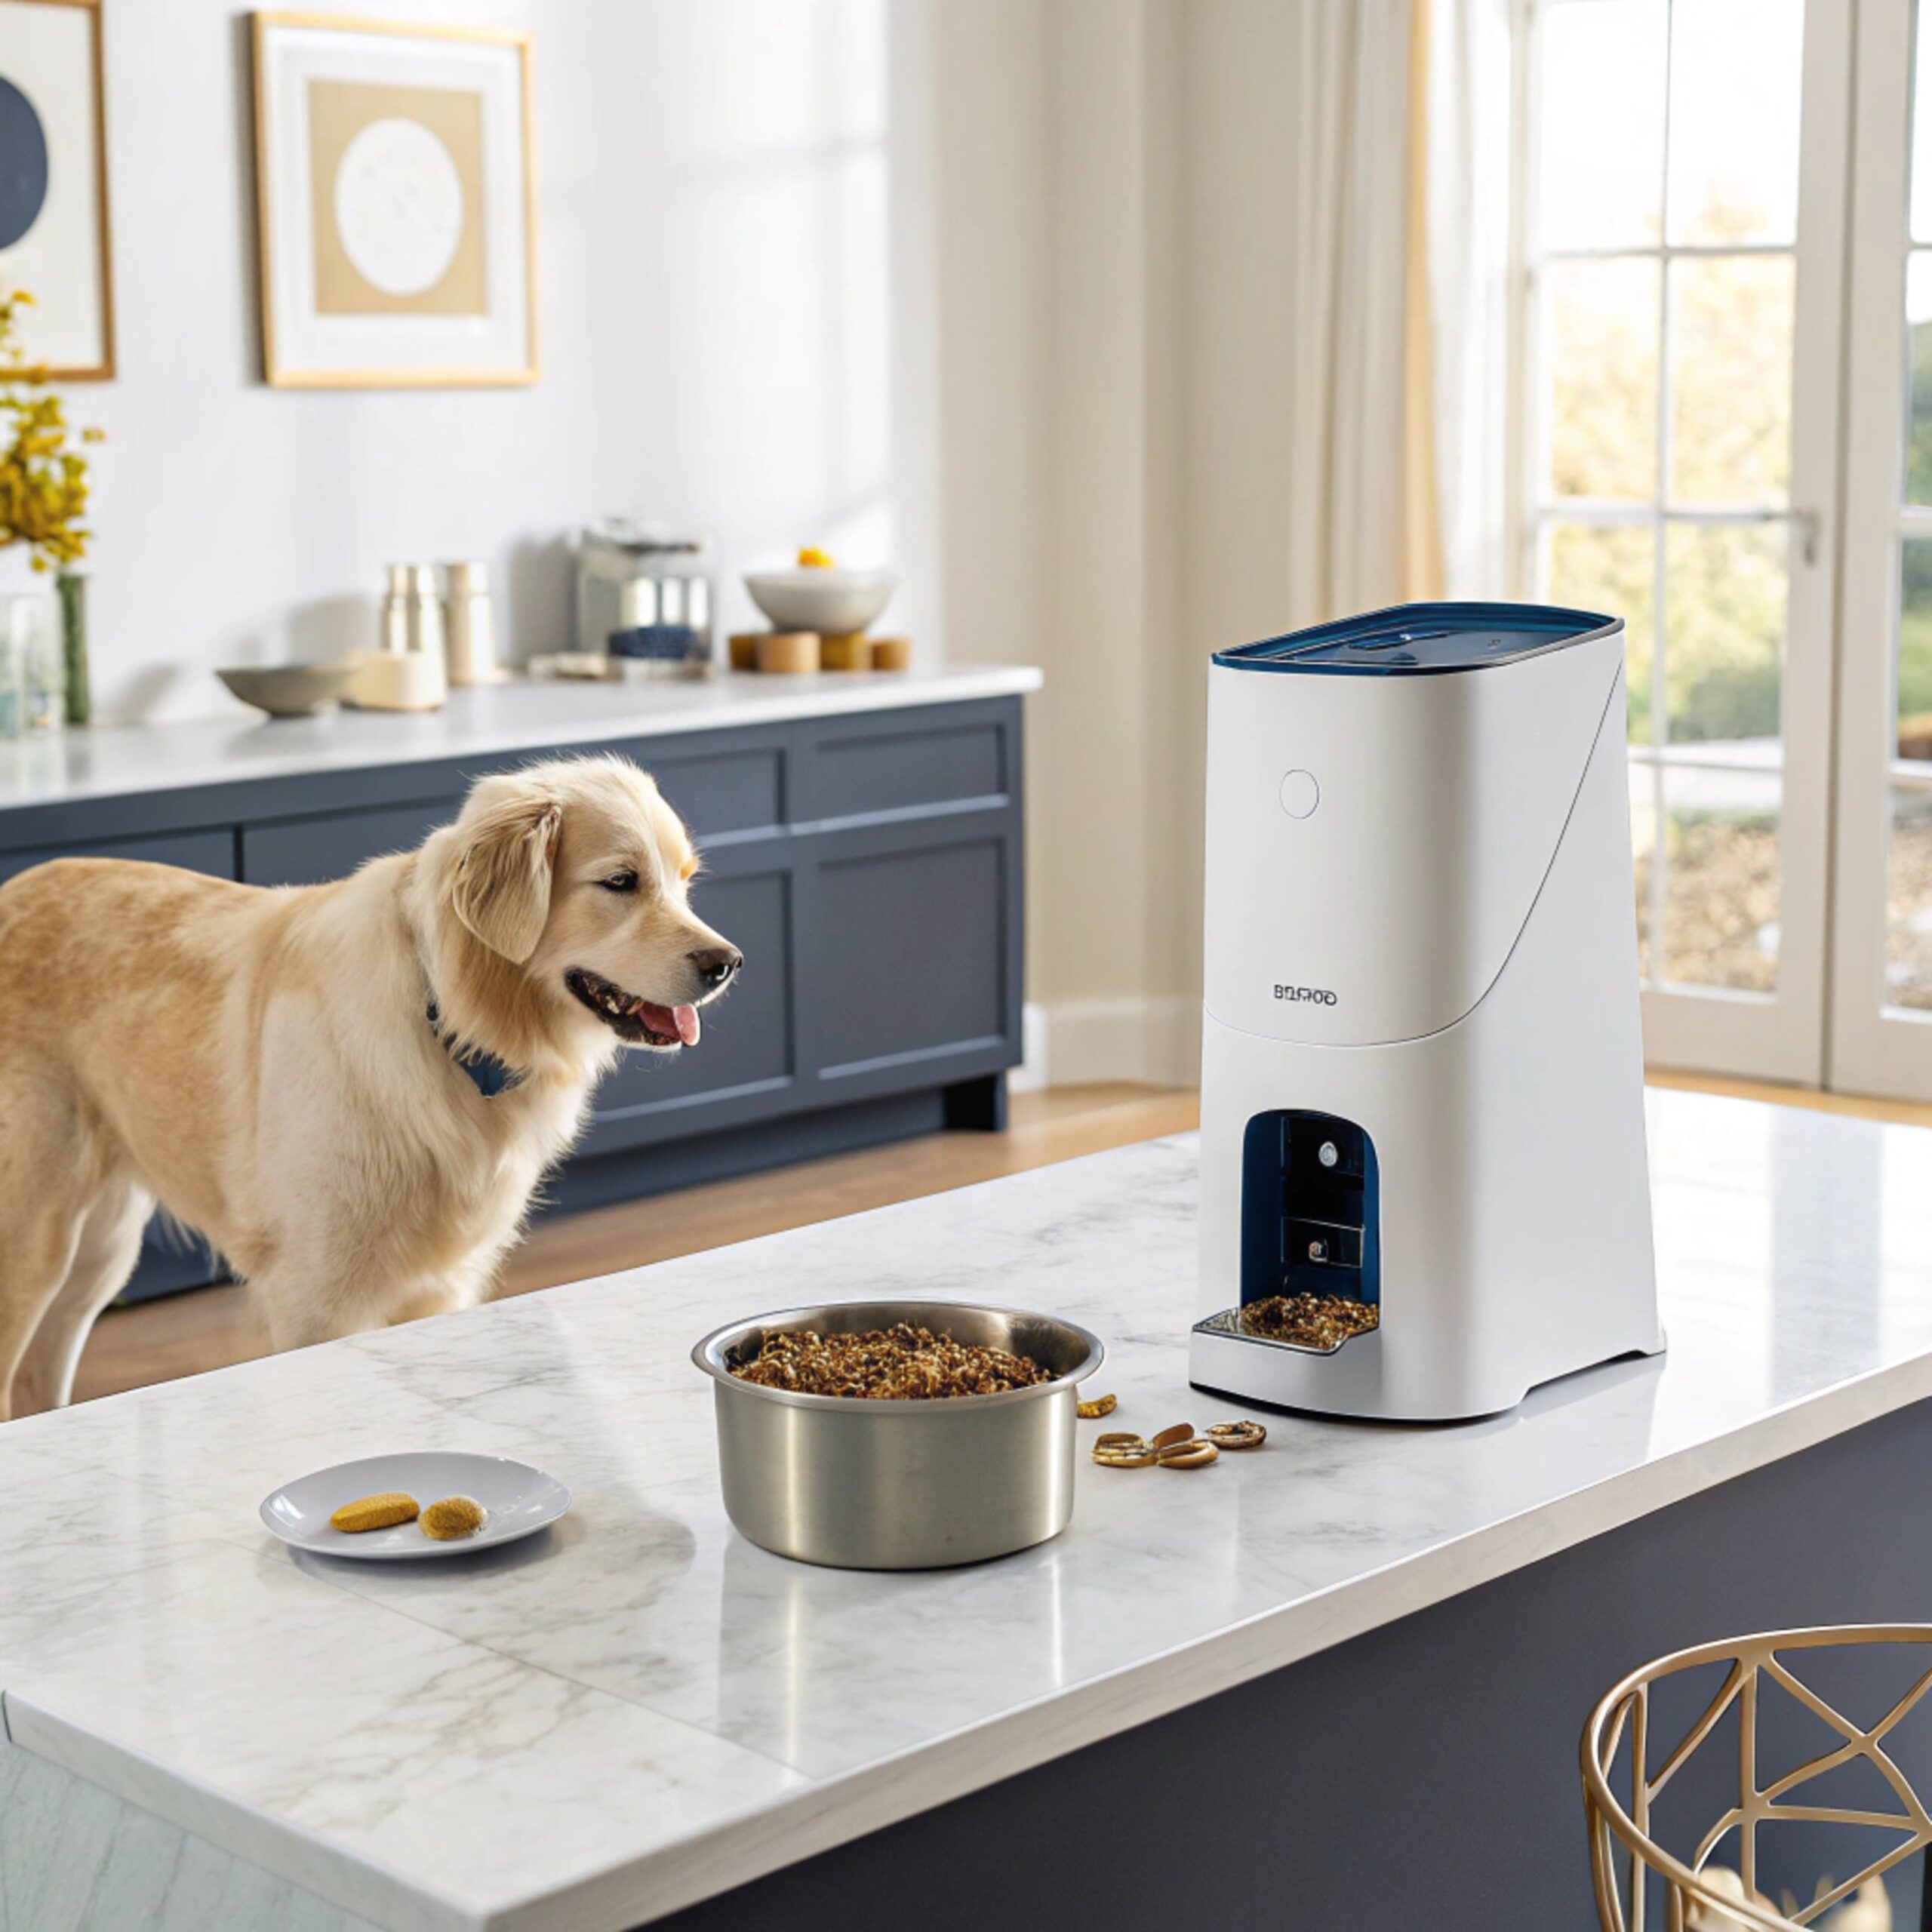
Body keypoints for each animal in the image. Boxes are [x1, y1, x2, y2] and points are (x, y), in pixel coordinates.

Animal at [0, 757, 737, 1422]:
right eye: (620, 882)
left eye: (685, 882)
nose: (728, 963)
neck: (451, 1020)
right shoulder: (313, 1299)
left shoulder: (439, 1287)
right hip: (34, 1245)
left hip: (98, 1252)